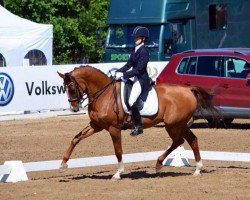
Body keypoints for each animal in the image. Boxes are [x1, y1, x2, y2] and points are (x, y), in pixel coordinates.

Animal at [57, 65, 216, 180]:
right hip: (179, 124)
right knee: (190, 140)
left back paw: (160, 164)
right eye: (65, 88)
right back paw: (196, 169)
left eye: (72, 87)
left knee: (179, 141)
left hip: (173, 125)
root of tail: (188, 89)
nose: (74, 108)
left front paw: (118, 173)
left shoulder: (113, 128)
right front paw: (63, 164)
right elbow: (76, 139)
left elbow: (118, 150)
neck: (104, 94)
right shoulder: (96, 126)